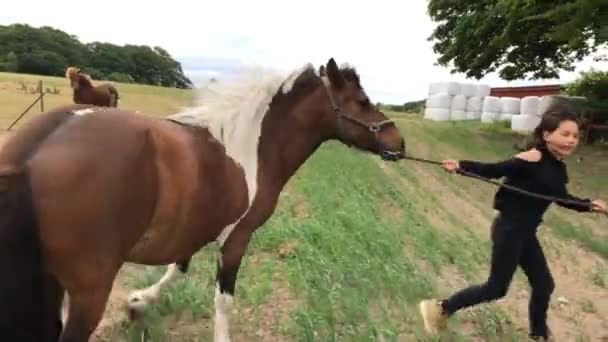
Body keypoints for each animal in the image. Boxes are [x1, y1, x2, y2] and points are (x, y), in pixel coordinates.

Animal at [1, 57, 408, 340]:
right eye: (361, 101)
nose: (399, 143)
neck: (249, 147)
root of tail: (34, 151)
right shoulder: (237, 237)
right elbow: (223, 300)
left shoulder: (192, 228)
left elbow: (178, 269)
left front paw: (137, 303)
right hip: (87, 293)